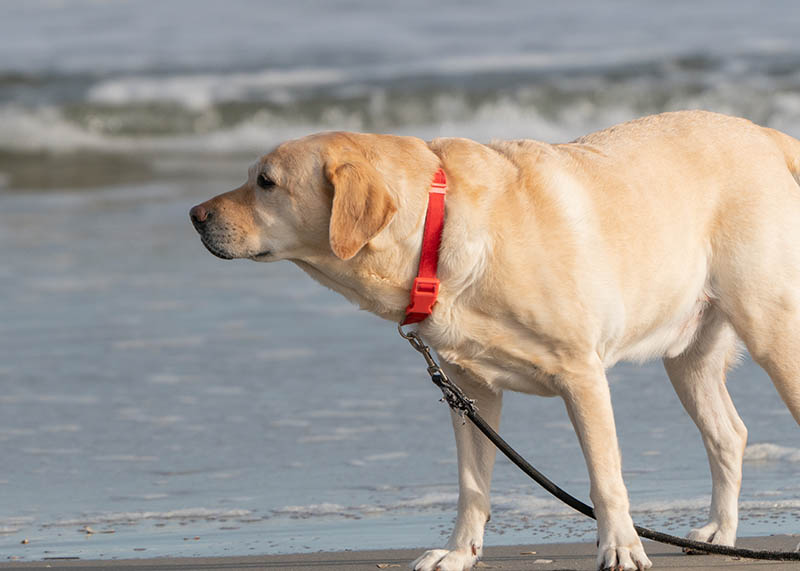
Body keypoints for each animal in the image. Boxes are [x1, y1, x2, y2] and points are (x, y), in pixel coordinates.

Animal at [189, 111, 800, 571]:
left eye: (266, 183)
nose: (194, 215)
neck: (433, 231)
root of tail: (766, 134)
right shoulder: (468, 390)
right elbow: (470, 483)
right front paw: (459, 553)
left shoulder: (582, 374)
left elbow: (605, 477)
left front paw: (621, 548)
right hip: (688, 353)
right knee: (729, 435)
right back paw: (720, 533)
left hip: (772, 329)